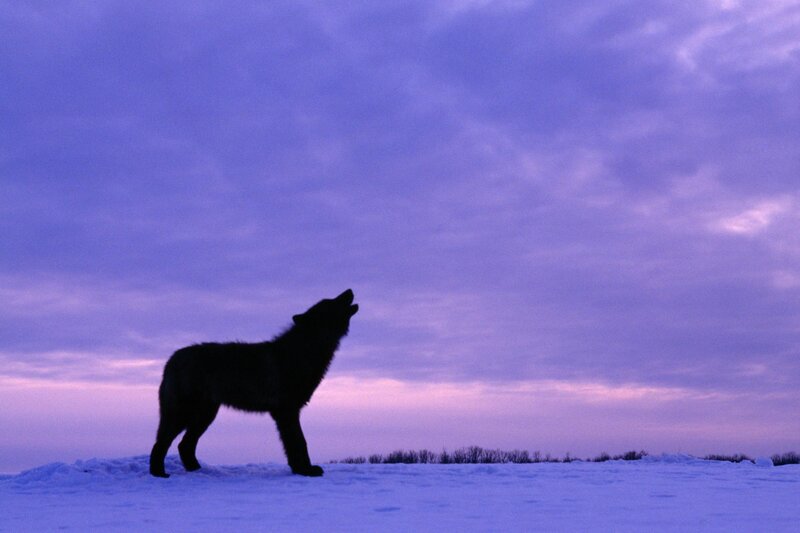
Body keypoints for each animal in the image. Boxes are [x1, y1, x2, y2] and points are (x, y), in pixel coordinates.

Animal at [149, 289, 358, 478]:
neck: (303, 352)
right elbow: (299, 442)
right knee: (161, 443)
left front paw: (299, 469)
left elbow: (294, 444)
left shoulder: (286, 413)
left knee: (184, 444)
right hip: (185, 414)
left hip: (205, 416)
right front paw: (305, 470)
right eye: (331, 302)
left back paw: (198, 471)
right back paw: (159, 473)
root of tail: (171, 359)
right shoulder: (287, 411)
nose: (349, 290)